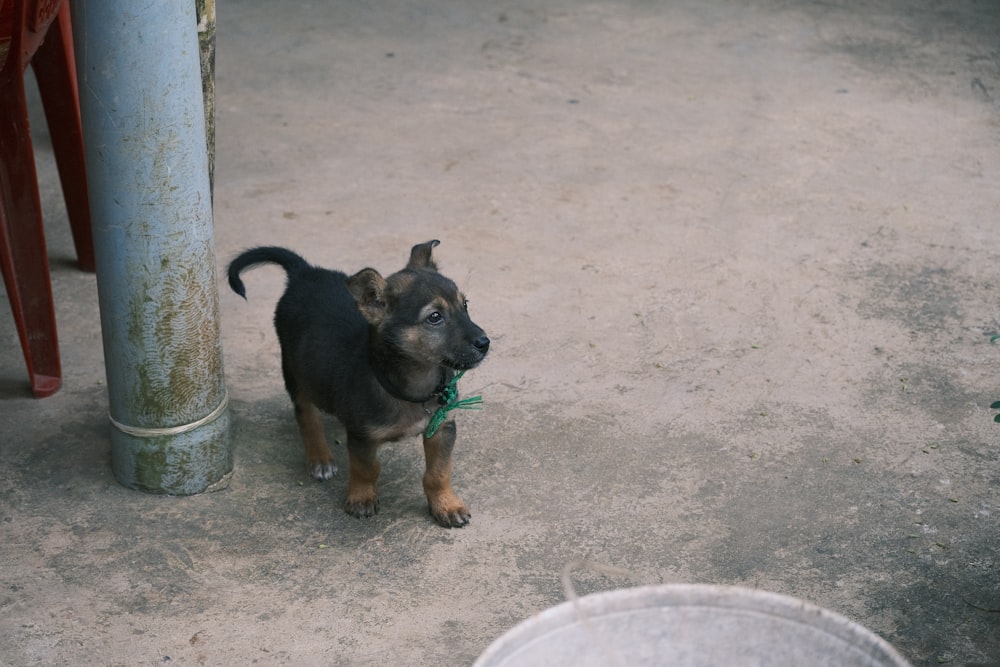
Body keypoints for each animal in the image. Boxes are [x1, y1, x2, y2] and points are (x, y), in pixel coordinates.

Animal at [228, 240, 492, 528]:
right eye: (434, 317)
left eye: (465, 305)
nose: (485, 343)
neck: (413, 384)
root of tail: (305, 272)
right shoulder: (361, 436)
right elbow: (367, 469)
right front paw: (361, 498)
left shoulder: (442, 428)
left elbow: (438, 473)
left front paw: (446, 505)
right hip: (294, 369)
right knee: (306, 414)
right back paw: (319, 457)